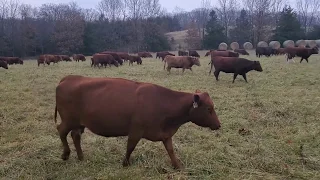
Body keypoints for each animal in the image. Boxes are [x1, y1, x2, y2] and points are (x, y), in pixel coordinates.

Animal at [54, 74, 220, 169]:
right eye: (209, 109)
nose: (218, 125)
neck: (162, 102)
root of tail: (70, 78)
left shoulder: (165, 134)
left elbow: (170, 150)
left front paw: (177, 166)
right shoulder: (136, 130)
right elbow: (130, 147)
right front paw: (125, 163)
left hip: (79, 123)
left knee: (75, 136)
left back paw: (81, 157)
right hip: (68, 120)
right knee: (61, 130)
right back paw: (65, 154)